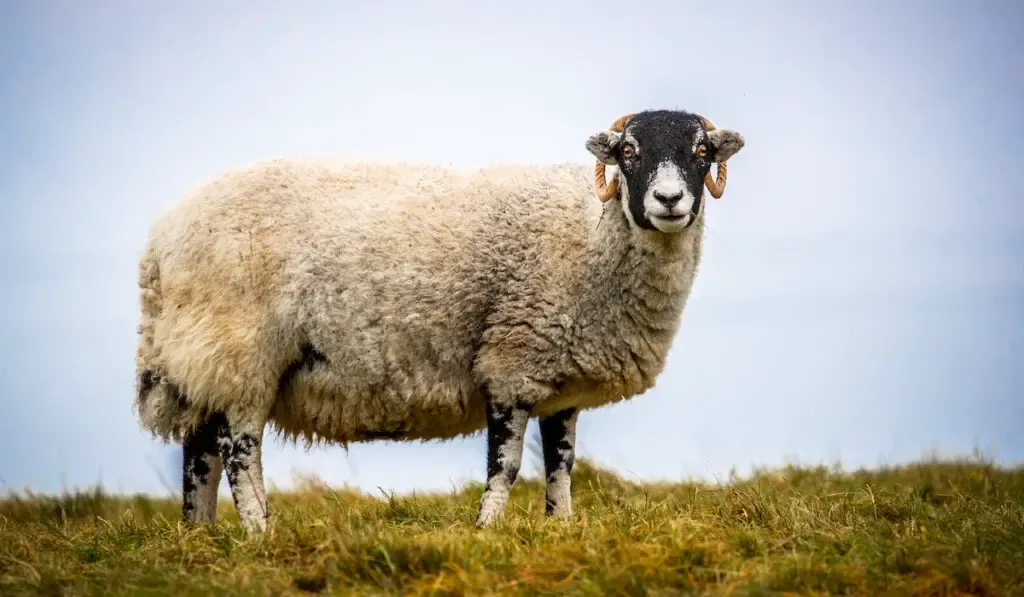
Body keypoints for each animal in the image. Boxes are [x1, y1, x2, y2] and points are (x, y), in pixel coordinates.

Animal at [134, 107, 745, 532]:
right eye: (629, 151)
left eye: (700, 150)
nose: (670, 201)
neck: (590, 235)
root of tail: (161, 242)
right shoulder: (511, 363)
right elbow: (506, 466)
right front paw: (487, 531)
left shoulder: (559, 381)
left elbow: (561, 464)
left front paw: (561, 529)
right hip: (240, 351)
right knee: (238, 453)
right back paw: (259, 533)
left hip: (205, 358)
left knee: (199, 451)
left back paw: (201, 534)